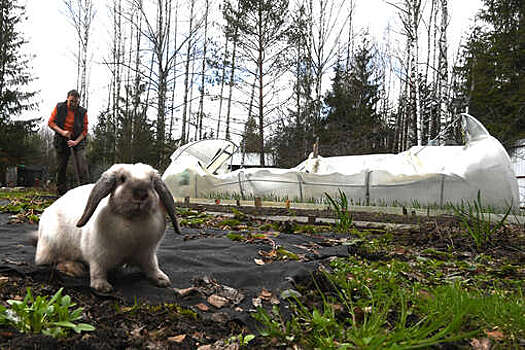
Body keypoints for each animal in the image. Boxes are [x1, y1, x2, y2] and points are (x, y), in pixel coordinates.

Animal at [34, 163, 181, 292]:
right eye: (122, 179)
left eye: (151, 180)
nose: (140, 194)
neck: (133, 220)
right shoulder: (97, 256)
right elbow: (97, 270)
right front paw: (102, 286)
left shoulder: (148, 253)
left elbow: (152, 266)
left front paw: (162, 280)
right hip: (52, 245)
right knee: (52, 261)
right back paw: (75, 269)